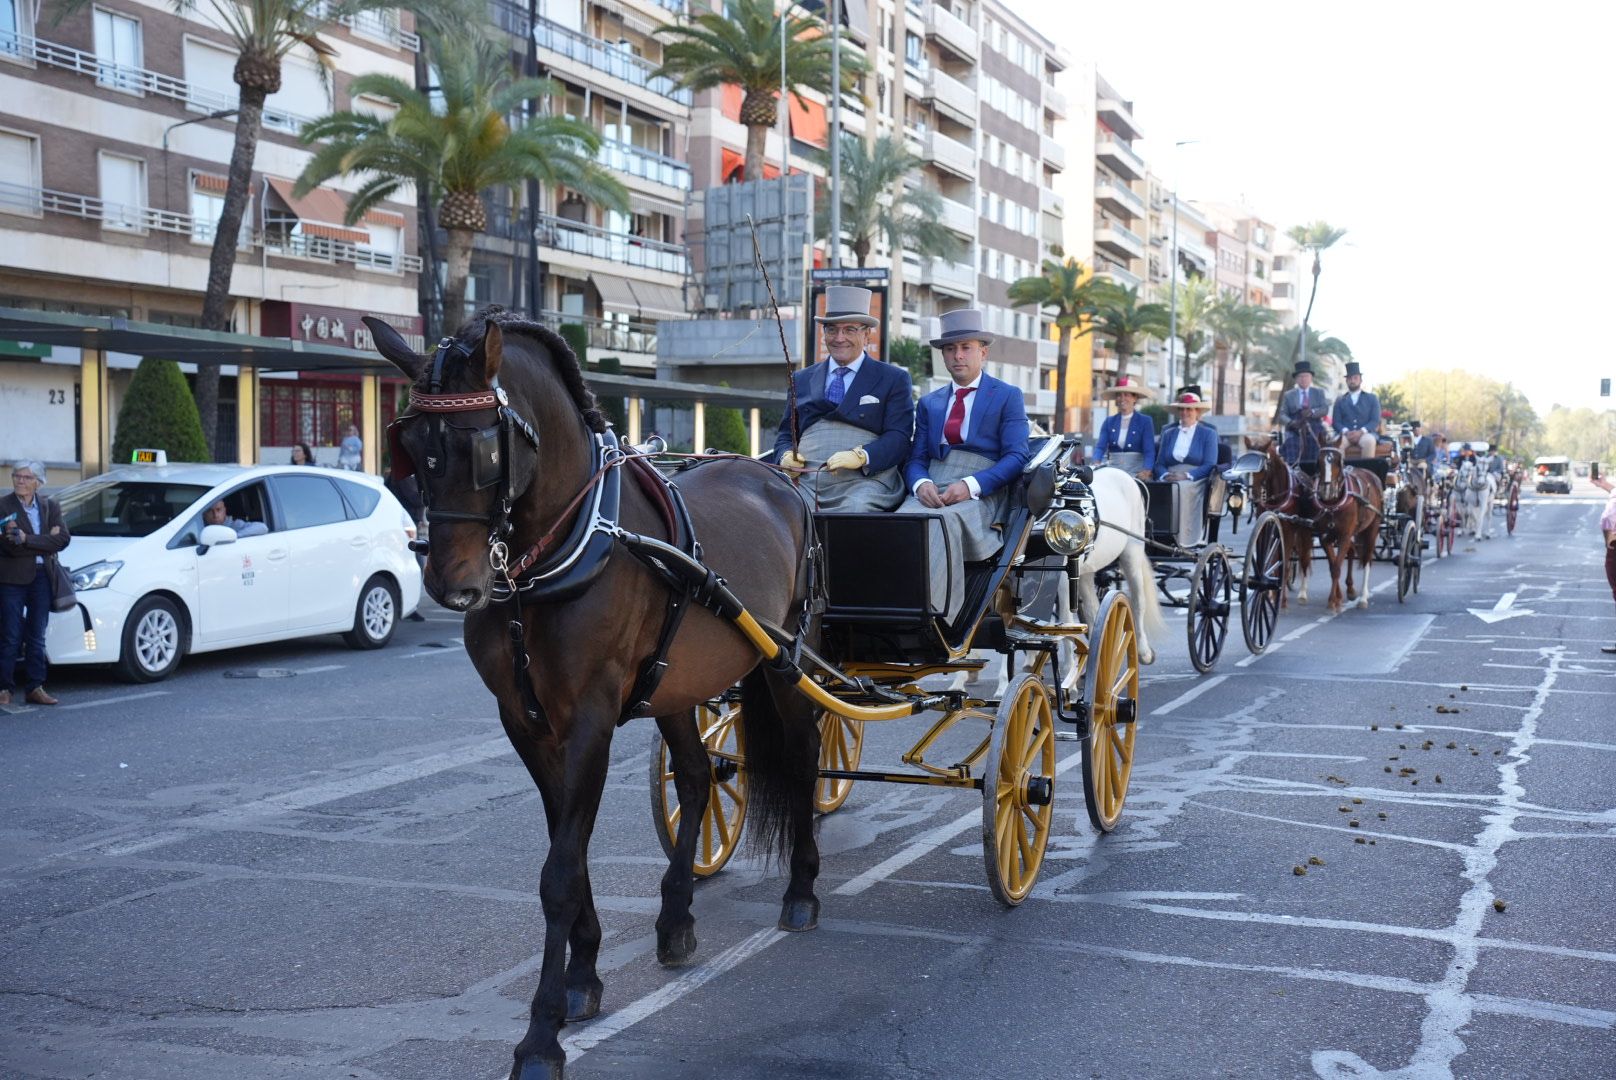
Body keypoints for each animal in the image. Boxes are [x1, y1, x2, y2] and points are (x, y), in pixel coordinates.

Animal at [366, 307, 820, 1080]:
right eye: (412, 447)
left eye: (483, 449)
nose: (453, 586)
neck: (554, 555)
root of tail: (779, 478)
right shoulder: (524, 720)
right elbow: (568, 855)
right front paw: (583, 976)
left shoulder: (592, 721)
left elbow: (559, 871)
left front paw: (540, 1035)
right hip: (678, 683)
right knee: (697, 776)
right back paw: (676, 920)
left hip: (785, 661)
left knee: (806, 753)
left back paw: (801, 888)